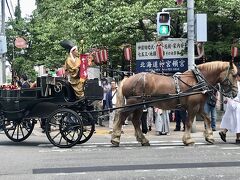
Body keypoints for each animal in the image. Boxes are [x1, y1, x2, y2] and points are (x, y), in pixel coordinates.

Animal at [110, 61, 238, 146]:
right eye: (234, 75)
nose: (236, 93)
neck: (197, 80)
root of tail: (127, 79)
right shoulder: (193, 107)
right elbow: (189, 122)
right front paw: (188, 140)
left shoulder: (199, 107)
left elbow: (207, 119)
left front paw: (210, 137)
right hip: (133, 103)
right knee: (122, 117)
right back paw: (115, 139)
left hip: (140, 106)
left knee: (135, 121)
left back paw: (143, 140)